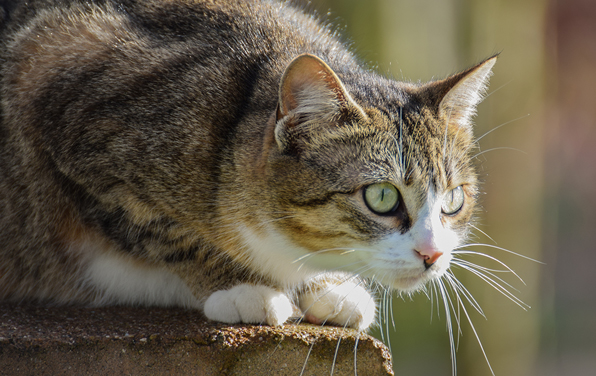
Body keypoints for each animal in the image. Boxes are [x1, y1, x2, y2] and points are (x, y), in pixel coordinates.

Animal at [0, 0, 494, 334]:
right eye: (382, 196)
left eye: (453, 200)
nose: (432, 254)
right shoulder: (63, 86)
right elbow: (163, 230)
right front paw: (241, 286)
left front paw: (327, 285)